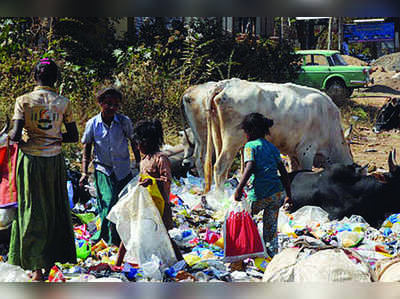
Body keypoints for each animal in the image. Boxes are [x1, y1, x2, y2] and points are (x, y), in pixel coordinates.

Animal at [200, 79, 354, 192]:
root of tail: (226, 84)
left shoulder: (293, 153)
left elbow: (294, 171)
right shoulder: (306, 150)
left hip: (218, 136)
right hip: (232, 141)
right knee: (220, 167)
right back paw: (220, 196)